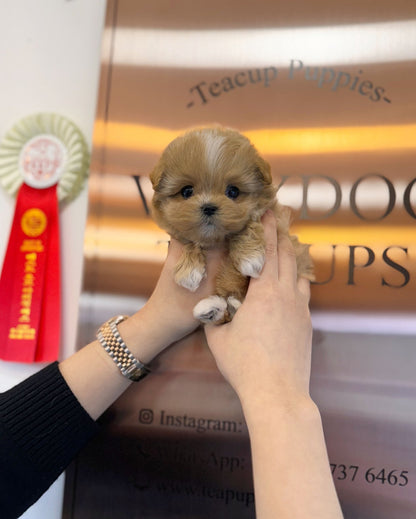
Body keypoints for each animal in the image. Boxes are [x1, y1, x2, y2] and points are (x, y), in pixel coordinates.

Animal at [150, 126, 312, 324]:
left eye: (233, 191)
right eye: (187, 191)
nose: (209, 207)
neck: (217, 239)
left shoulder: (276, 220)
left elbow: (249, 225)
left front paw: (249, 257)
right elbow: (190, 239)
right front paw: (189, 270)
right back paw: (211, 309)